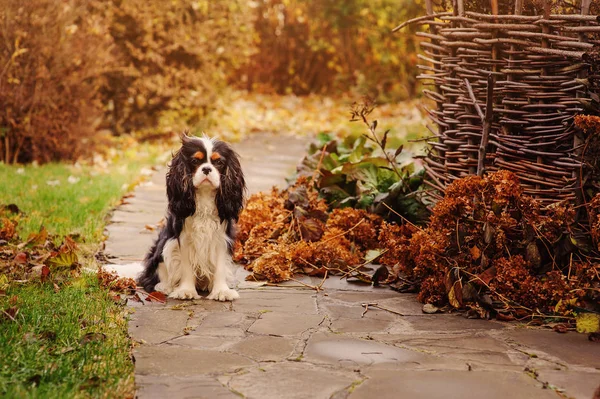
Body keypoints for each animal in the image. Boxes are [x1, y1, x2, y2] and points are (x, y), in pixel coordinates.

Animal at [138, 133, 246, 302]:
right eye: (195, 161)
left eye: (219, 162)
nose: (207, 169)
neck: (204, 197)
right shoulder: (183, 239)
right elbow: (186, 267)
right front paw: (186, 290)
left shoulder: (221, 239)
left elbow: (220, 267)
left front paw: (221, 291)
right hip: (165, 245)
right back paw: (165, 287)